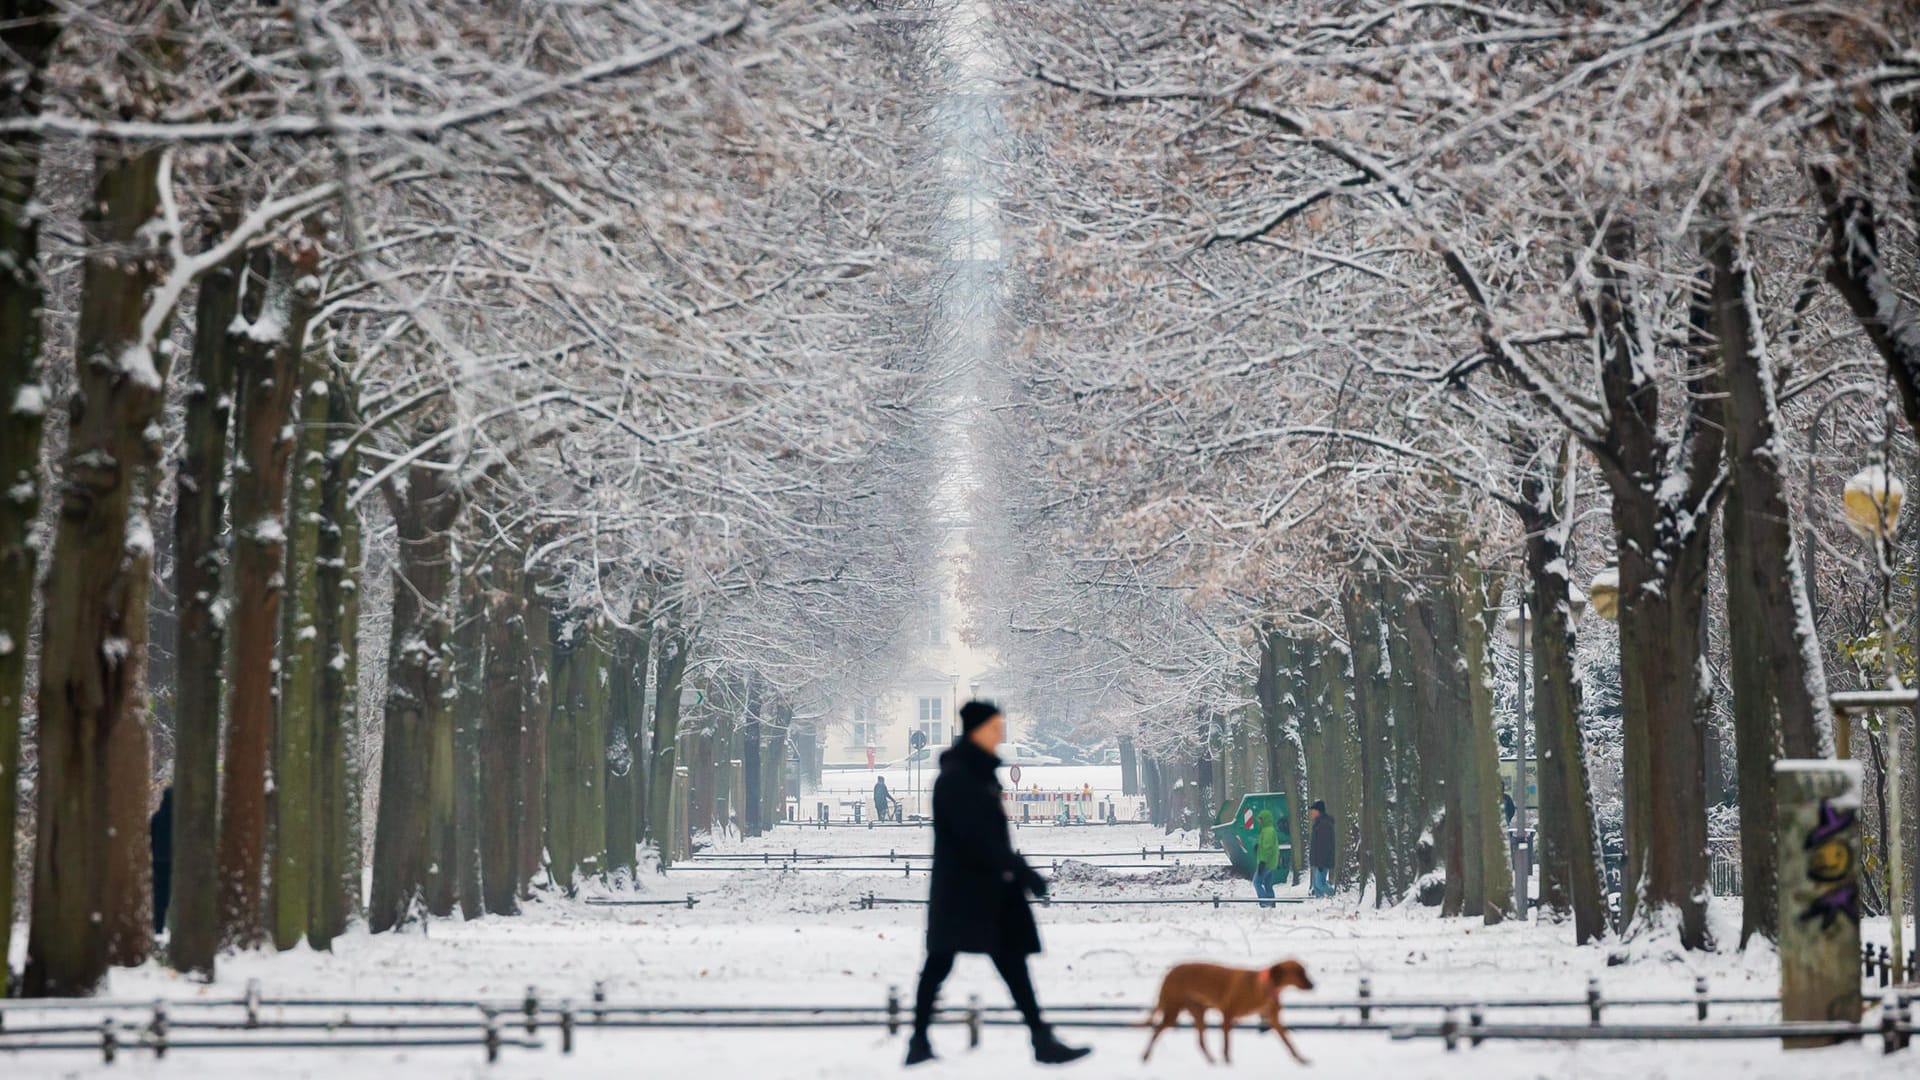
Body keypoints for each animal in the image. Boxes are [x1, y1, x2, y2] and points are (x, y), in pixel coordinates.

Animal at [1144, 957, 1313, 1060]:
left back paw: (1210, 1060)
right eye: (1299, 973)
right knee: (1157, 1031)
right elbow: (1226, 1045)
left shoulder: (1273, 1019)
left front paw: (1300, 1058)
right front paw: (1227, 1062)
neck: (1263, 987)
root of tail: (1169, 973)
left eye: (1304, 971)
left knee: (1200, 1042)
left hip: (1197, 1012)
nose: (1313, 985)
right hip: (1173, 1010)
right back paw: (1146, 1055)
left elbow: (1288, 1042)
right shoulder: (1227, 1014)